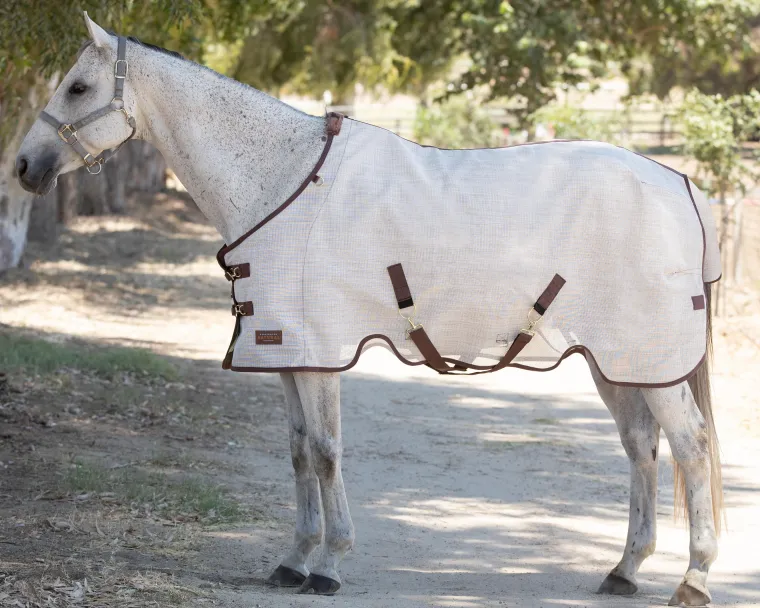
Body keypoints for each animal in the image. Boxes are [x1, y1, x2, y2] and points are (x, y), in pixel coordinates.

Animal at [16, 13, 724, 605]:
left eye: (78, 87)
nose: (23, 166)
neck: (283, 178)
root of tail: (682, 184)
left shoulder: (320, 354)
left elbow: (327, 450)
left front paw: (330, 565)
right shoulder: (286, 353)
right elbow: (299, 451)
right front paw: (293, 560)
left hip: (650, 360)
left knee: (690, 446)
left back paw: (692, 579)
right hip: (620, 362)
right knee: (640, 447)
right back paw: (624, 570)